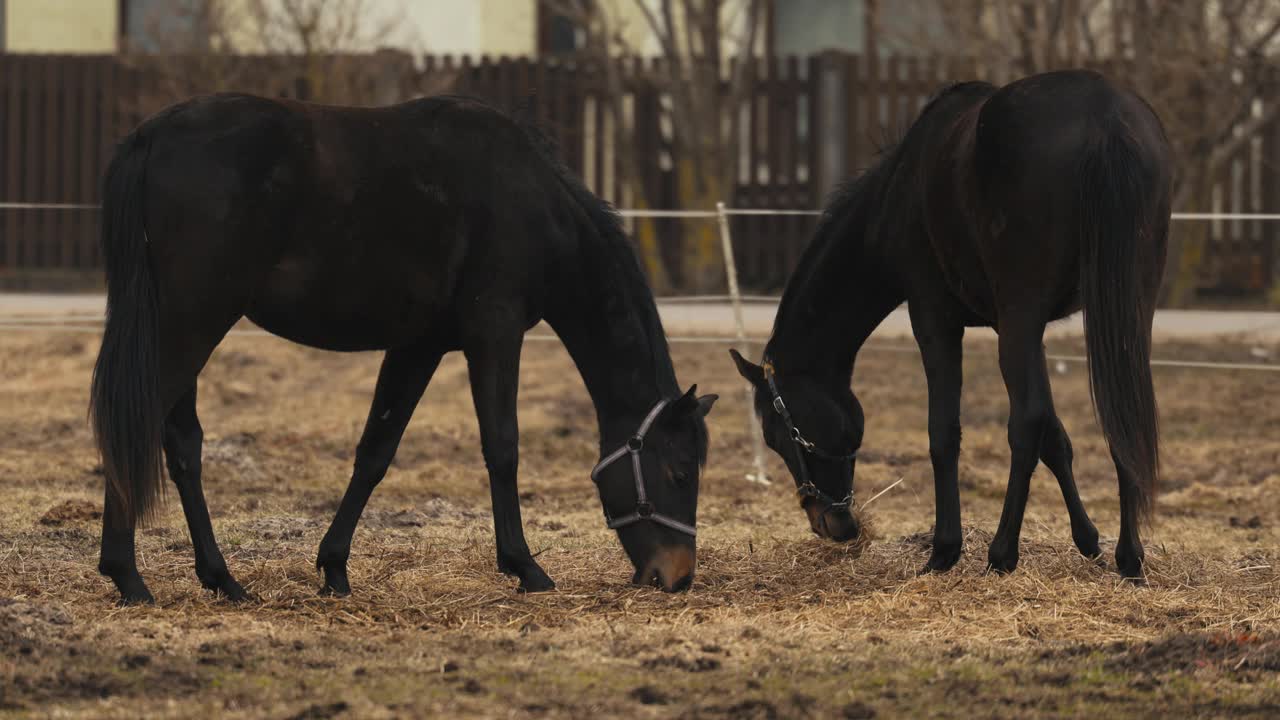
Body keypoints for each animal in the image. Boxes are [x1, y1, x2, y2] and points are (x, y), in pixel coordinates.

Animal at [92, 92, 721, 602]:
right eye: (680, 473)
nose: (678, 575)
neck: (534, 201)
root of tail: (153, 135)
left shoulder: (419, 347)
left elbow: (376, 452)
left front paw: (335, 568)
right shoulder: (494, 333)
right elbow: (502, 447)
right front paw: (525, 567)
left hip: (182, 326)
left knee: (182, 444)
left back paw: (221, 578)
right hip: (192, 323)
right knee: (140, 426)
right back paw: (128, 575)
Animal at [732, 71, 1172, 576]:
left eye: (777, 433)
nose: (832, 524)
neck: (895, 197)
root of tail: (1106, 116)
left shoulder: (935, 319)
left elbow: (945, 432)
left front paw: (944, 550)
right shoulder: (1022, 330)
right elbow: (1056, 437)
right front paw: (1087, 539)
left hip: (1025, 314)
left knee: (1027, 424)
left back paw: (1002, 554)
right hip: (1125, 311)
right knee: (1122, 419)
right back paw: (1129, 557)